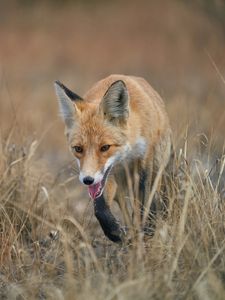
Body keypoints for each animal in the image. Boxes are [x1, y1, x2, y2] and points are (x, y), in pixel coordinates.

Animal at [54, 75, 172, 244]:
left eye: (105, 147)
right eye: (78, 149)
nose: (87, 180)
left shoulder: (145, 162)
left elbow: (144, 200)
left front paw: (145, 230)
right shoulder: (107, 176)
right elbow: (100, 208)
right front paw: (115, 231)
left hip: (158, 165)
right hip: (119, 185)